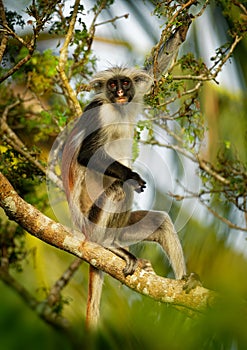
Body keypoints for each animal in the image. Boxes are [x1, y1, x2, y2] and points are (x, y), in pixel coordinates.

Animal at [59, 21, 193, 328]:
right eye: (112, 85)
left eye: (125, 83)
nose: (120, 92)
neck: (117, 108)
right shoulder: (98, 112)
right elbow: (86, 155)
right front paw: (134, 175)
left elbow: (154, 73)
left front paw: (180, 32)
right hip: (92, 222)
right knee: (121, 189)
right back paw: (107, 244)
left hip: (126, 227)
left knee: (161, 221)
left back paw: (184, 284)